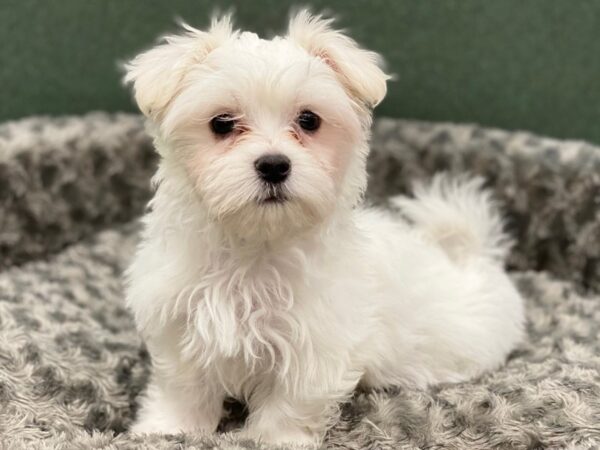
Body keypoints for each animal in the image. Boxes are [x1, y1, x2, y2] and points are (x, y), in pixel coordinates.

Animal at [123, 10, 524, 446]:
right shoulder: (179, 321)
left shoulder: (318, 340)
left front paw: (276, 439)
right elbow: (183, 386)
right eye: (222, 123)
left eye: (309, 120)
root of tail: (471, 255)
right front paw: (166, 429)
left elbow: (293, 398)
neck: (255, 246)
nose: (274, 164)